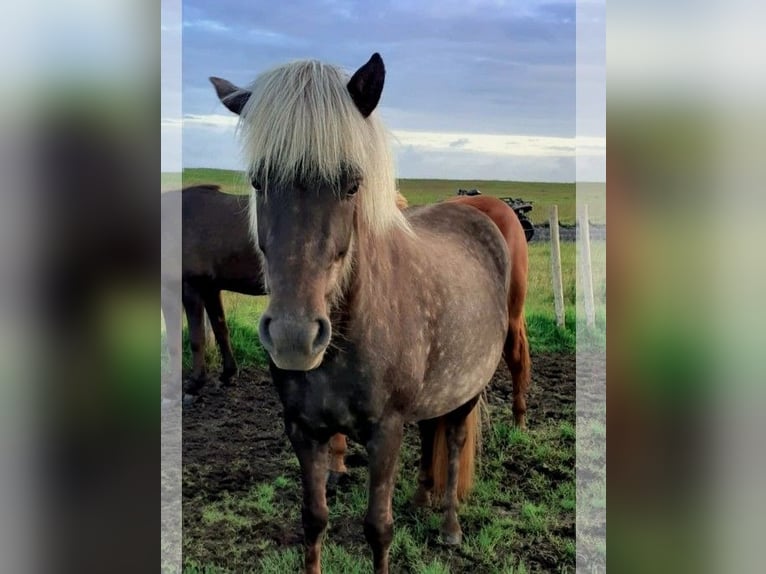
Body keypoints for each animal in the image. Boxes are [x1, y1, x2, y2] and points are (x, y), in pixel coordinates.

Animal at [210, 53, 529, 574]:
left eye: (351, 185)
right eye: (258, 181)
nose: (294, 338)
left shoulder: (385, 434)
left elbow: (378, 528)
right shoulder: (304, 432)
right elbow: (313, 520)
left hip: (466, 391)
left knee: (455, 445)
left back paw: (449, 526)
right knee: (431, 430)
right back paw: (421, 498)